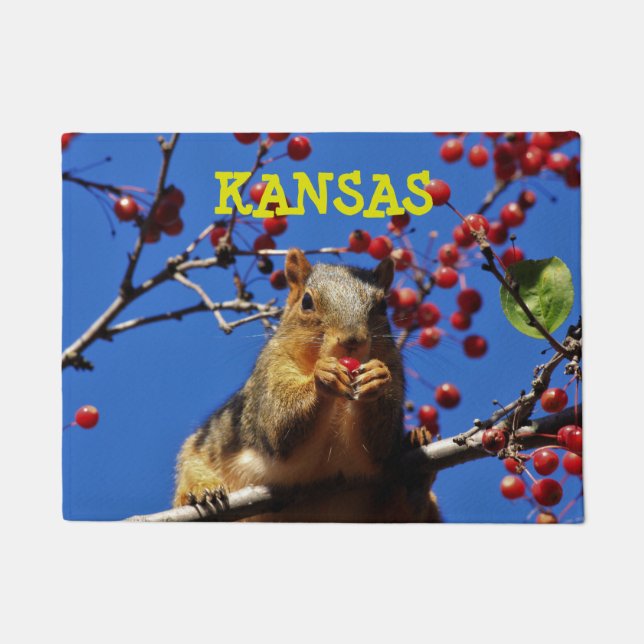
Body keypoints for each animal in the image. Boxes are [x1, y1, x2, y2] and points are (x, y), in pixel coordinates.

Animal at [173, 248, 440, 522]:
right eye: (307, 301)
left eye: (383, 305)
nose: (352, 340)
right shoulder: (270, 370)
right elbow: (280, 422)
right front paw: (322, 376)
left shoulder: (395, 369)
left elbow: (379, 446)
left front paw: (376, 378)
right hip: (200, 449)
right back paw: (203, 490)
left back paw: (416, 467)